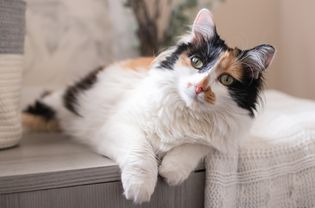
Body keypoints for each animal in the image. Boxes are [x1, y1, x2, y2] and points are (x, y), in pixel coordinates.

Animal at [23, 9, 276, 203]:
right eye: (197, 62)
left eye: (226, 80)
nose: (199, 87)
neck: (187, 113)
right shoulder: (119, 125)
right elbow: (141, 153)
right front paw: (140, 188)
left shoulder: (223, 141)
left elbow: (195, 145)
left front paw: (171, 171)